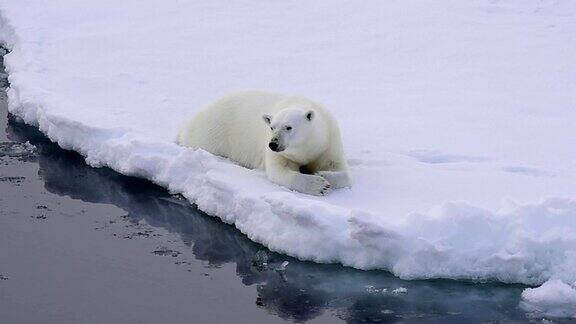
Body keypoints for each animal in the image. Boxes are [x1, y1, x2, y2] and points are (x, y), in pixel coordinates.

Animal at [177, 90, 352, 195]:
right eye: (272, 127)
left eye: (288, 127)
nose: (273, 144)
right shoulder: (280, 153)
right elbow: (280, 171)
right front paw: (319, 184)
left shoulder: (329, 140)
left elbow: (338, 168)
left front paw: (323, 174)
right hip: (211, 135)